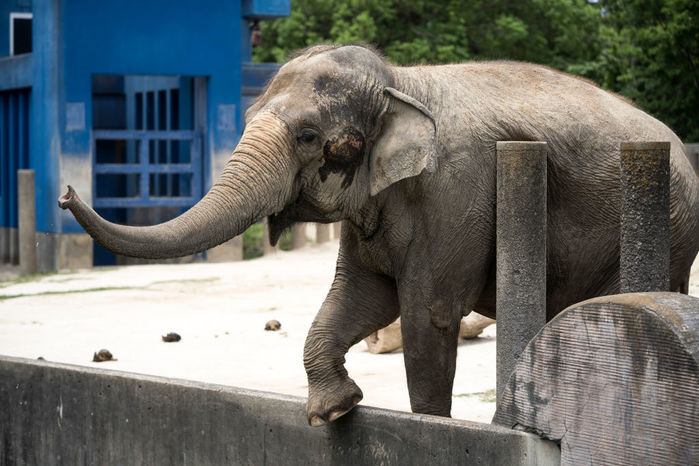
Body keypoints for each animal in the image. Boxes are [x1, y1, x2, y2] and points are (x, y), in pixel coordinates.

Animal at [60, 43, 699, 426]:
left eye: (308, 138)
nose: (66, 195)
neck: (399, 83)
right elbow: (359, 298)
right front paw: (334, 411)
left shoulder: (456, 190)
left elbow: (427, 315)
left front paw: (431, 427)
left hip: (665, 226)